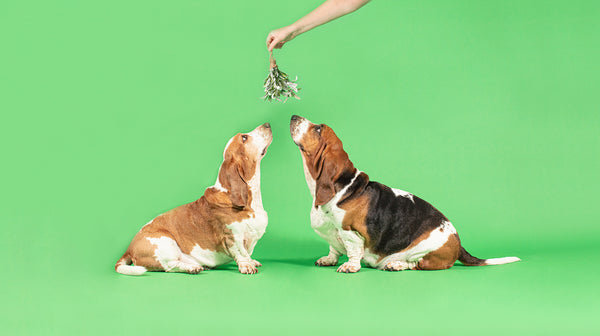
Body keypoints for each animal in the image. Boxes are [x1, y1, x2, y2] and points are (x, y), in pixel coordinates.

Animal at [115, 123, 274, 276]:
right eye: (244, 138)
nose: (267, 124)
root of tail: (129, 249)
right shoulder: (233, 237)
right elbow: (241, 253)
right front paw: (247, 266)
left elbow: (248, 253)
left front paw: (252, 261)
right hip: (166, 243)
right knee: (170, 266)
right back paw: (193, 268)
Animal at [290, 115, 520, 272]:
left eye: (318, 129)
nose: (294, 117)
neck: (343, 188)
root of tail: (458, 242)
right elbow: (333, 248)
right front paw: (328, 260)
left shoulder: (351, 232)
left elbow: (353, 251)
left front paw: (350, 266)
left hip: (425, 252)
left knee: (417, 264)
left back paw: (396, 264)